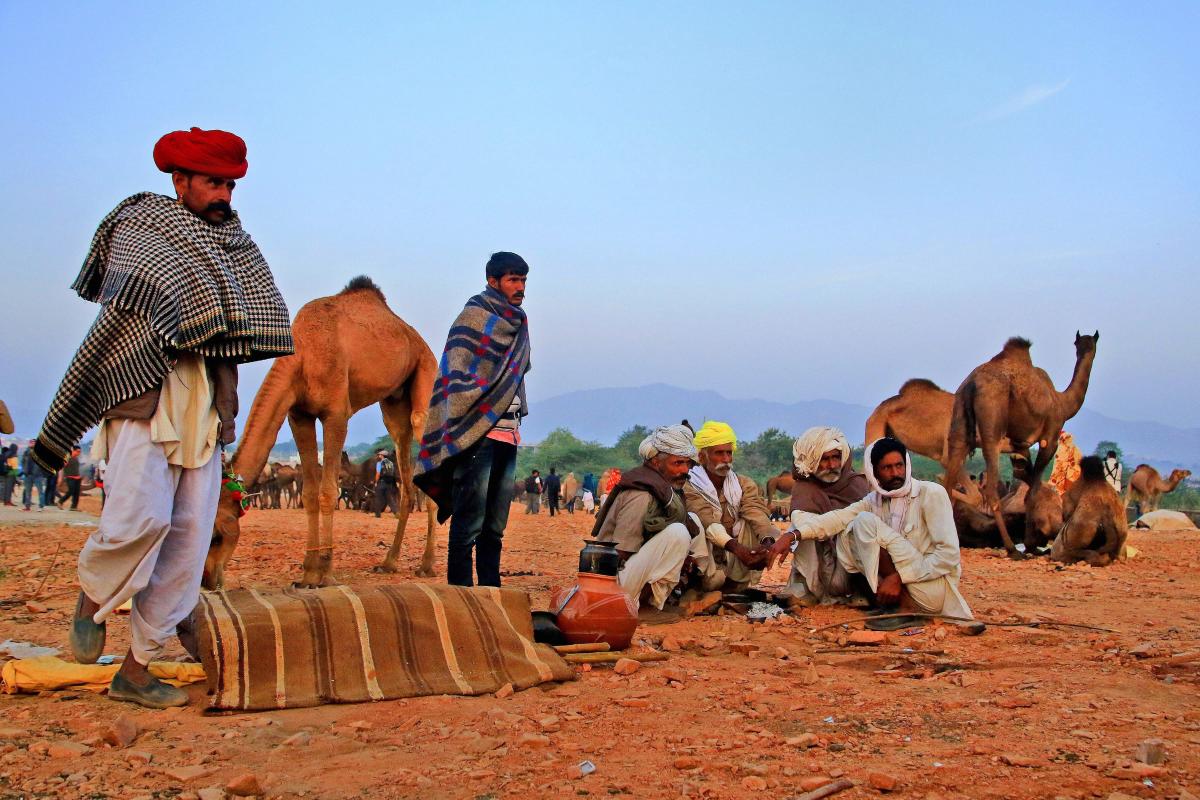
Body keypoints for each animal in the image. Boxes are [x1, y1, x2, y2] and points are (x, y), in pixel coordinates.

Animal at [203, 276, 439, 589]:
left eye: (216, 536)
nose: (207, 580)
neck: (304, 354)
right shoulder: (298, 415)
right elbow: (310, 494)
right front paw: (307, 573)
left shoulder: (336, 413)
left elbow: (328, 491)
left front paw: (325, 571)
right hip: (394, 405)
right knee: (404, 467)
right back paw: (388, 563)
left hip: (426, 374)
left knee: (423, 430)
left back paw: (427, 565)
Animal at [943, 332, 1099, 557]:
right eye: (1082, 343)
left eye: (1088, 343)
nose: (1086, 350)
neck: (1062, 402)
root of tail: (971, 385)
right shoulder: (1050, 438)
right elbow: (1032, 491)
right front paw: (1031, 544)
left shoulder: (1021, 446)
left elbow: (1027, 483)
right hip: (992, 427)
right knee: (991, 491)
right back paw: (1012, 548)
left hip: (959, 428)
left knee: (947, 484)